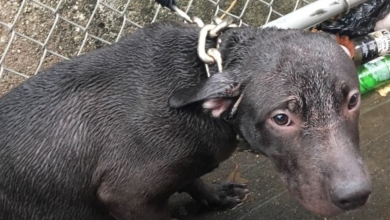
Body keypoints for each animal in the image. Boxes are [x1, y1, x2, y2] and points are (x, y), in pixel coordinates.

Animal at [0, 19, 372, 219]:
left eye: (353, 100)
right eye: (281, 118)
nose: (355, 196)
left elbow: (191, 179)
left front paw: (215, 196)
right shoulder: (126, 196)